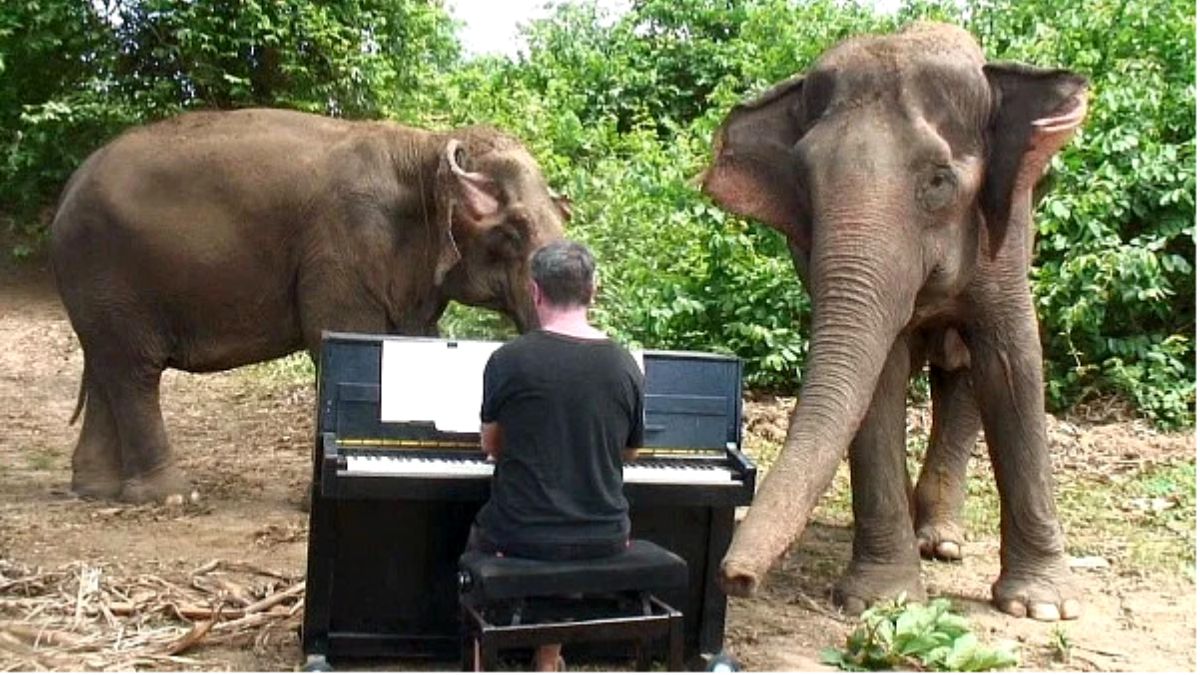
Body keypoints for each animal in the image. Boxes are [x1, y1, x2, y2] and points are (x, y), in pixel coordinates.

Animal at [50, 108, 568, 504]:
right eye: (512, 231)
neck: (425, 148)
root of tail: (68, 188)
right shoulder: (341, 250)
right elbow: (337, 341)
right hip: (109, 272)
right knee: (134, 372)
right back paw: (171, 497)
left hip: (99, 289)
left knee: (108, 368)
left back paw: (96, 490)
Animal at [701, 22, 1088, 621]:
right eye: (804, 186)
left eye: (939, 182)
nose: (736, 578)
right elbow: (878, 379)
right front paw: (880, 601)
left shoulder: (1008, 229)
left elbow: (1013, 363)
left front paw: (1043, 607)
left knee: (963, 373)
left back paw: (941, 541)